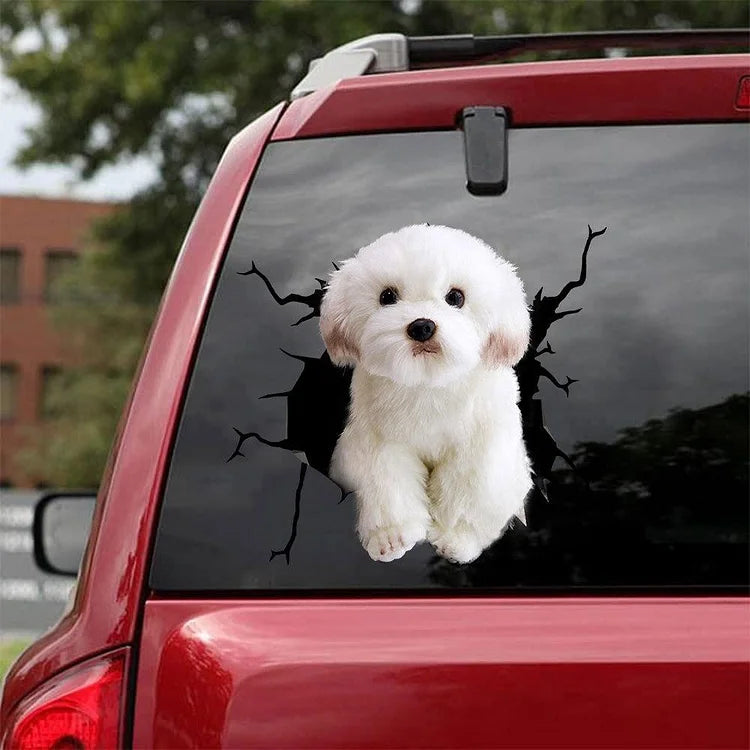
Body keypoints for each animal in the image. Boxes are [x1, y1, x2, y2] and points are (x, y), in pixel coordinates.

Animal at [320, 223, 532, 564]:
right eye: (387, 296)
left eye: (456, 297)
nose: (421, 326)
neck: (428, 384)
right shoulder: (379, 444)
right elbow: (387, 485)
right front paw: (391, 537)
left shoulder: (481, 449)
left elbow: (471, 491)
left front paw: (457, 537)